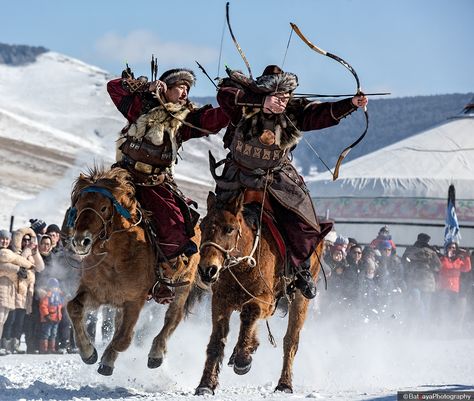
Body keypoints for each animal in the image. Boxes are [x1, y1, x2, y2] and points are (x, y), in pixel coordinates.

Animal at [66, 166, 200, 376]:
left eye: (103, 208)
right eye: (78, 207)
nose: (81, 241)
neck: (115, 258)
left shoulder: (135, 301)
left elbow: (124, 339)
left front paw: (107, 359)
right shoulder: (96, 292)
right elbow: (74, 308)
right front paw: (88, 353)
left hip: (183, 285)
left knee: (173, 318)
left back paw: (156, 354)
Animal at [194, 191, 324, 394]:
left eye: (230, 229)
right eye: (203, 226)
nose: (207, 270)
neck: (244, 262)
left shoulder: (266, 299)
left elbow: (249, 313)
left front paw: (243, 358)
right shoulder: (220, 301)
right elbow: (217, 339)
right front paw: (206, 383)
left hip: (302, 298)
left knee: (291, 340)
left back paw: (284, 383)